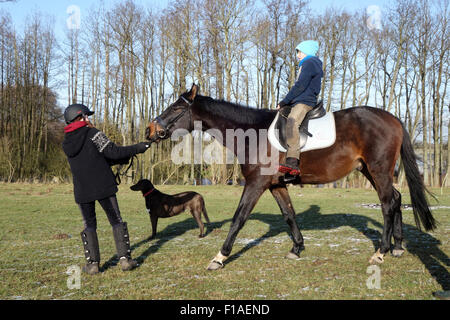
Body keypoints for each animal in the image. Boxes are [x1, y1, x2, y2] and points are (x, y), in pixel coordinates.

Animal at [145, 84, 436, 268]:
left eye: (175, 109)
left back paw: (381, 252)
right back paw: (397, 247)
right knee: (395, 199)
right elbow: (289, 214)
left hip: (378, 169)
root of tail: (393, 119)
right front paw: (297, 248)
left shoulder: (256, 184)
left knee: (387, 203)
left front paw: (220, 257)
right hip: (370, 170)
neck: (253, 133)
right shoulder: (276, 186)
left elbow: (239, 218)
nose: (149, 130)